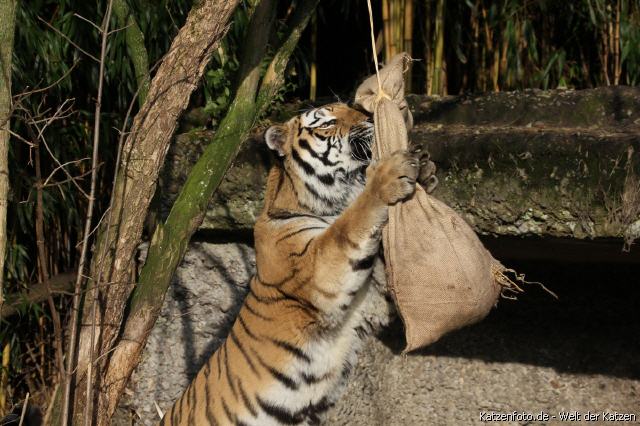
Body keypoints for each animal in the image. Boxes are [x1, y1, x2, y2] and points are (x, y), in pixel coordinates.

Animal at [160, 102, 436, 426]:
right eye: (327, 123)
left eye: (352, 107)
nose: (370, 117)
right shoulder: (319, 268)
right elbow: (352, 222)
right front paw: (388, 175)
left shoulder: (371, 298)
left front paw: (425, 169)